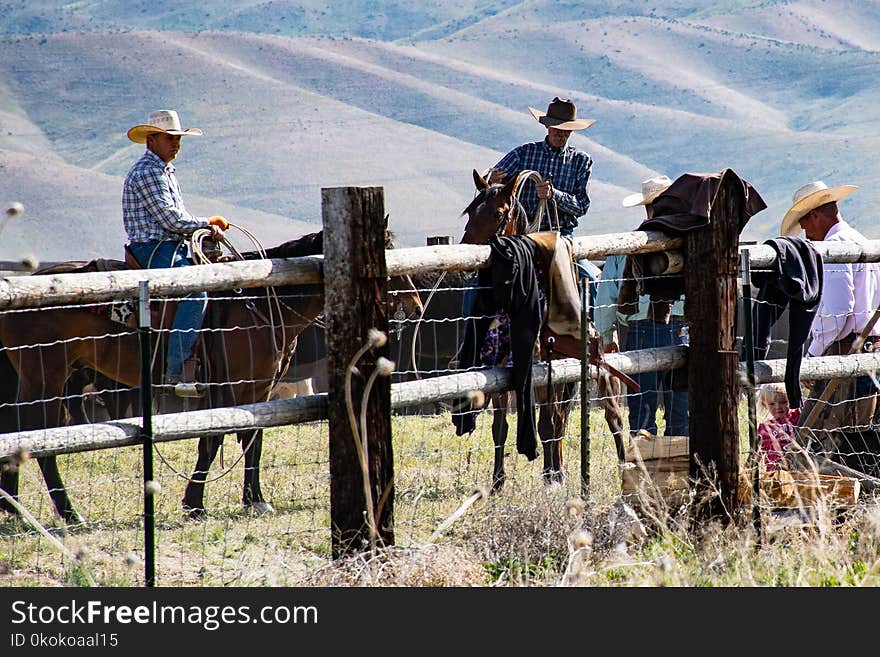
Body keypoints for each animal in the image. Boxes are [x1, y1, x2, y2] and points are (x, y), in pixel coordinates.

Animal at [0, 231, 422, 524]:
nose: (416, 305)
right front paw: (195, 503)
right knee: (38, 435)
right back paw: (65, 513)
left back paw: (16, 508)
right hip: (46, 376)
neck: (255, 302)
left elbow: (251, 439)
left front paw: (253, 498)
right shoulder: (231, 386)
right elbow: (216, 437)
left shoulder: (260, 388)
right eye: (383, 253)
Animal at [460, 172, 624, 490]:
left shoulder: (542, 369)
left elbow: (545, 423)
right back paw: (557, 468)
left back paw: (622, 467)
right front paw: (497, 481)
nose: (465, 263)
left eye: (498, 213)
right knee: (561, 418)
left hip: (601, 367)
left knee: (612, 417)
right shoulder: (502, 369)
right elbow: (501, 427)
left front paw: (551, 478)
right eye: (471, 211)